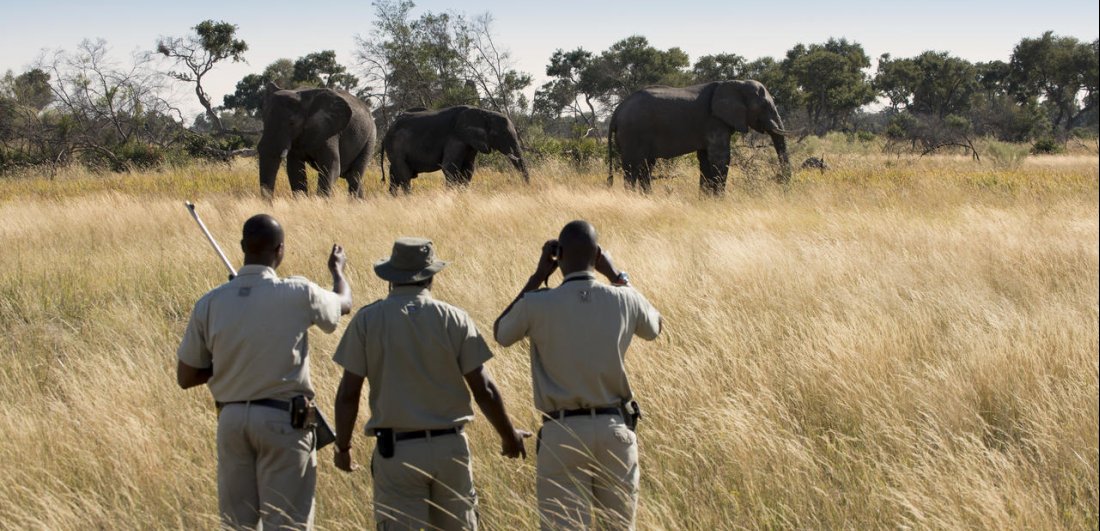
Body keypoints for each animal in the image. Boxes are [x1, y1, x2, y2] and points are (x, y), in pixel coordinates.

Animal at [380, 104, 530, 194]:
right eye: (500, 134)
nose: (526, 187)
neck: (483, 112)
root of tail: (386, 132)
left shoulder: (470, 143)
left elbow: (468, 169)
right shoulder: (456, 138)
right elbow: (449, 167)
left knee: (394, 175)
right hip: (396, 148)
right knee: (404, 175)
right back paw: (408, 198)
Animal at [611, 80, 792, 194]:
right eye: (765, 106)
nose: (782, 185)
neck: (735, 83)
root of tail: (618, 109)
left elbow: (705, 160)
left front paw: (705, 201)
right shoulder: (714, 121)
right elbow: (720, 158)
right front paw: (719, 201)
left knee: (645, 167)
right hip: (632, 133)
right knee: (633, 166)